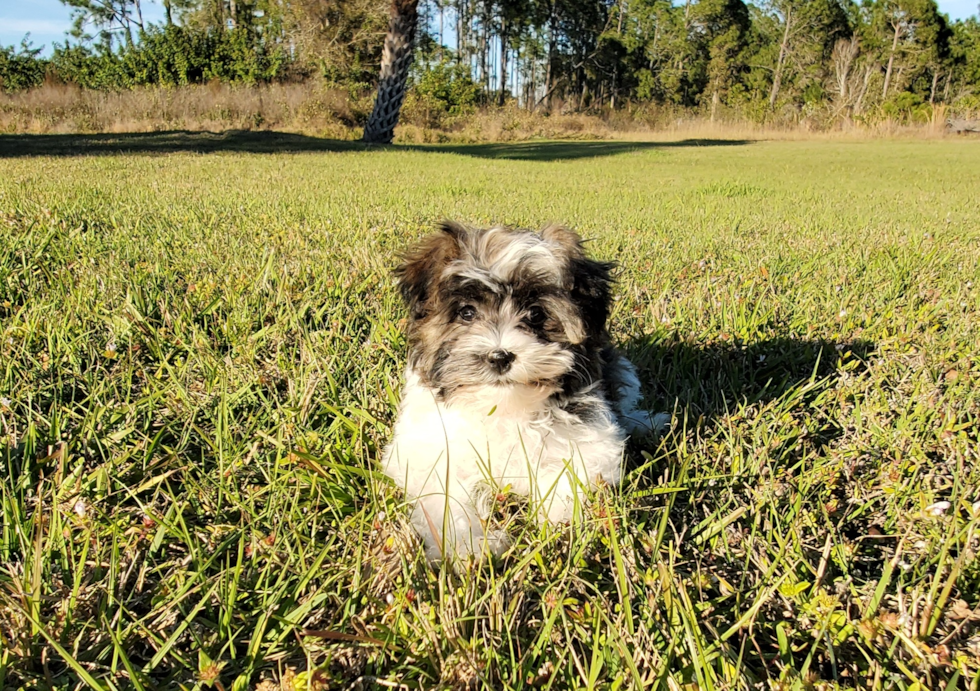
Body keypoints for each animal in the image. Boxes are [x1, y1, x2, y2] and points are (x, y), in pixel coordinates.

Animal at [380, 222, 668, 564]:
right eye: (466, 313)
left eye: (535, 314)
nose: (499, 356)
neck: (504, 407)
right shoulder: (426, 450)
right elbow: (444, 495)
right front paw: (470, 546)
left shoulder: (593, 441)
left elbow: (569, 476)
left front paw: (555, 529)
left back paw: (647, 423)